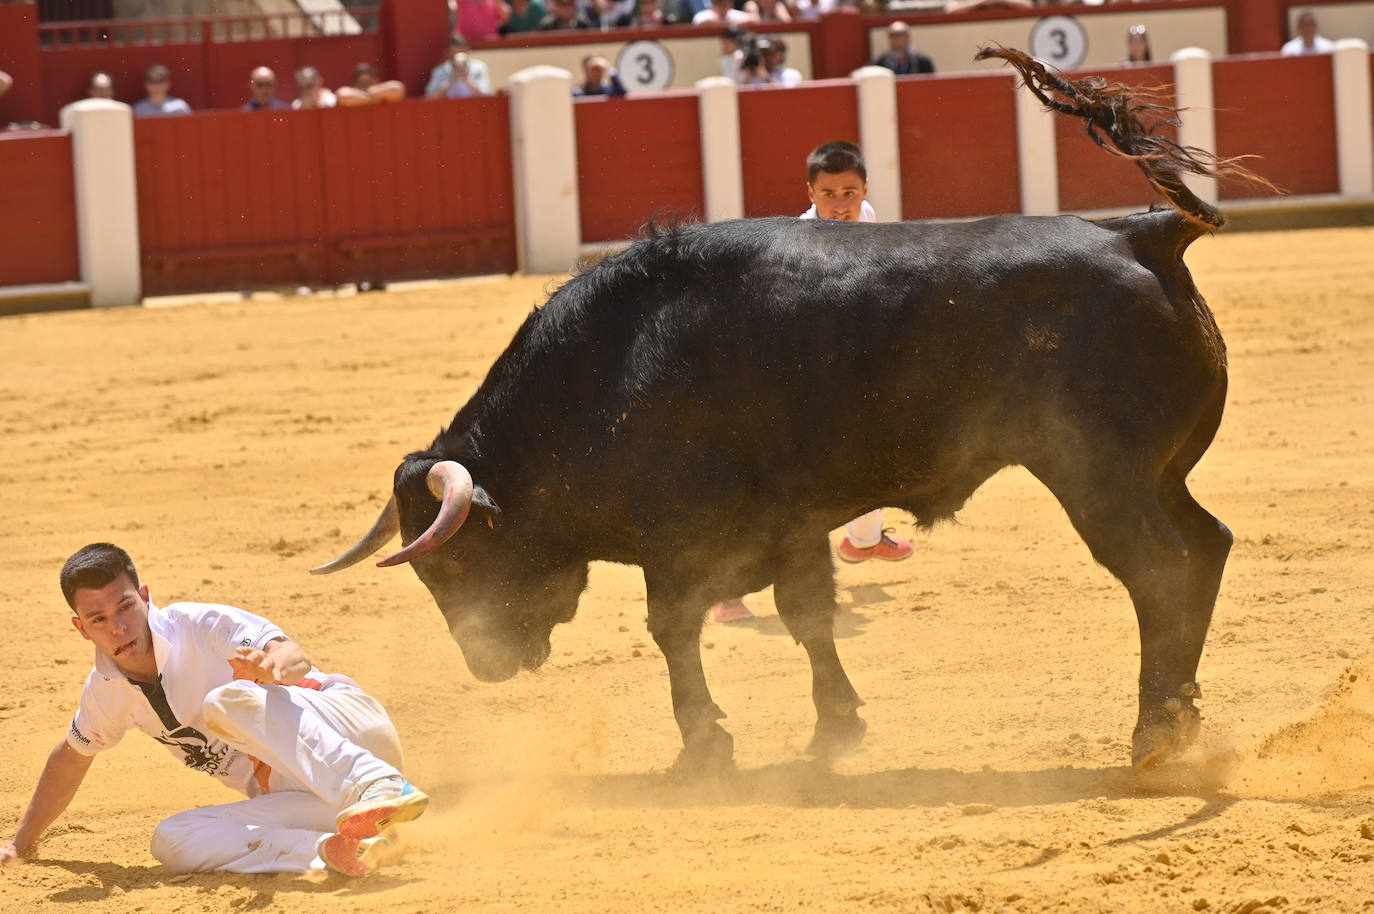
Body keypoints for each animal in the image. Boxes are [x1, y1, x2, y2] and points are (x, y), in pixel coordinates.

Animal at [309, 51, 1247, 769]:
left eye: (453, 566)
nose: (487, 667)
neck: (612, 371)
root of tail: (1140, 233)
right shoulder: (790, 523)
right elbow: (807, 615)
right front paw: (836, 728)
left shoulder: (680, 538)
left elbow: (672, 629)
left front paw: (703, 749)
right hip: (1158, 474)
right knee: (1206, 546)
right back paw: (1184, 713)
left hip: (1100, 474)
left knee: (1157, 568)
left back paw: (1153, 733)